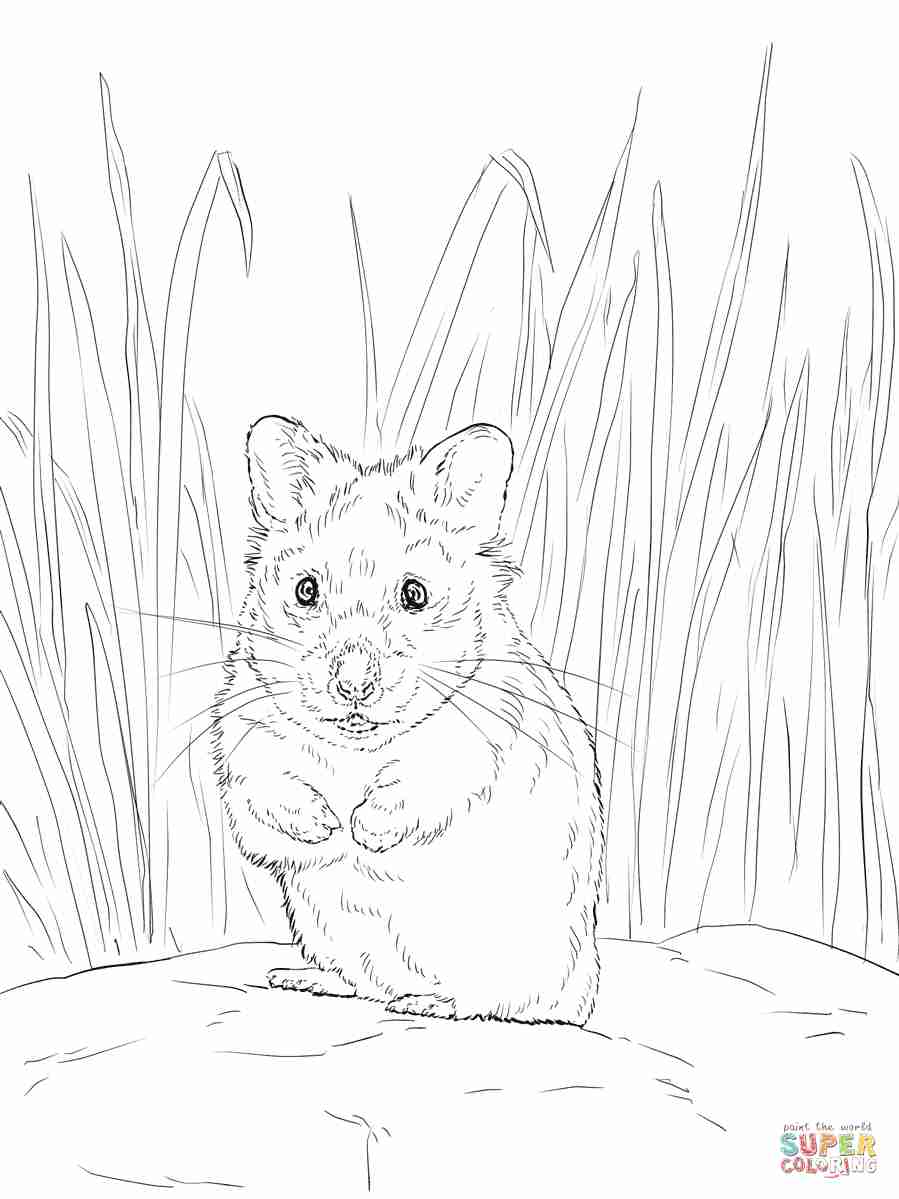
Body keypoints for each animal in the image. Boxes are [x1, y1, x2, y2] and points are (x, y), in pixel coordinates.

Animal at [212, 417, 603, 1024]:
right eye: (306, 590)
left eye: (414, 594)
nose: (353, 686)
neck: (355, 750)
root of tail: (580, 996)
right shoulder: (247, 730)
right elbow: (270, 785)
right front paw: (325, 828)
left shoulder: (478, 741)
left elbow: (419, 782)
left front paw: (360, 832)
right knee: (359, 984)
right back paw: (299, 978)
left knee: (492, 1001)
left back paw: (427, 1002)